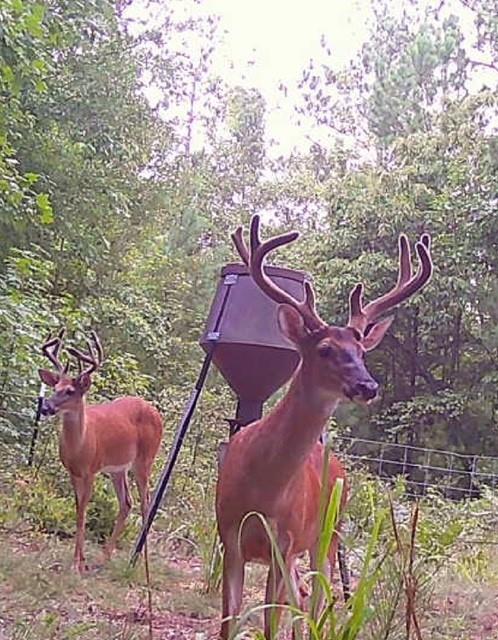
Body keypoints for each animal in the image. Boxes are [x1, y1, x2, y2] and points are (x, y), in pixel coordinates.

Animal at [39, 332, 163, 572]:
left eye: (70, 391)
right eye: (54, 387)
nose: (46, 407)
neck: (80, 446)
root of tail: (156, 412)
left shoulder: (91, 470)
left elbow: (82, 511)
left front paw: (77, 563)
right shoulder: (73, 472)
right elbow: (79, 509)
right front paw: (81, 560)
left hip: (145, 459)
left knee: (146, 502)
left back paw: (138, 561)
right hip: (118, 469)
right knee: (127, 503)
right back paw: (104, 558)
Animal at [216, 216, 434, 640]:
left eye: (362, 351)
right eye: (324, 349)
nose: (368, 386)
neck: (260, 487)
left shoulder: (283, 544)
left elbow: (271, 623)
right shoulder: (229, 537)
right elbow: (228, 623)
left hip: (328, 535)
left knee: (318, 601)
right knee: (304, 599)